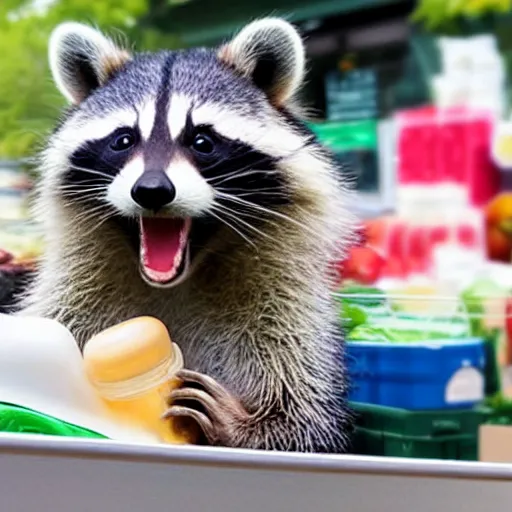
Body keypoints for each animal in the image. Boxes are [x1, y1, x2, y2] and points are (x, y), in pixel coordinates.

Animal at [20, 17, 356, 452]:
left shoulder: (289, 313)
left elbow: (305, 422)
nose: (151, 190)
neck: (178, 278)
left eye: (202, 141)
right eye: (123, 140)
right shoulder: (69, 301)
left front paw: (242, 426)